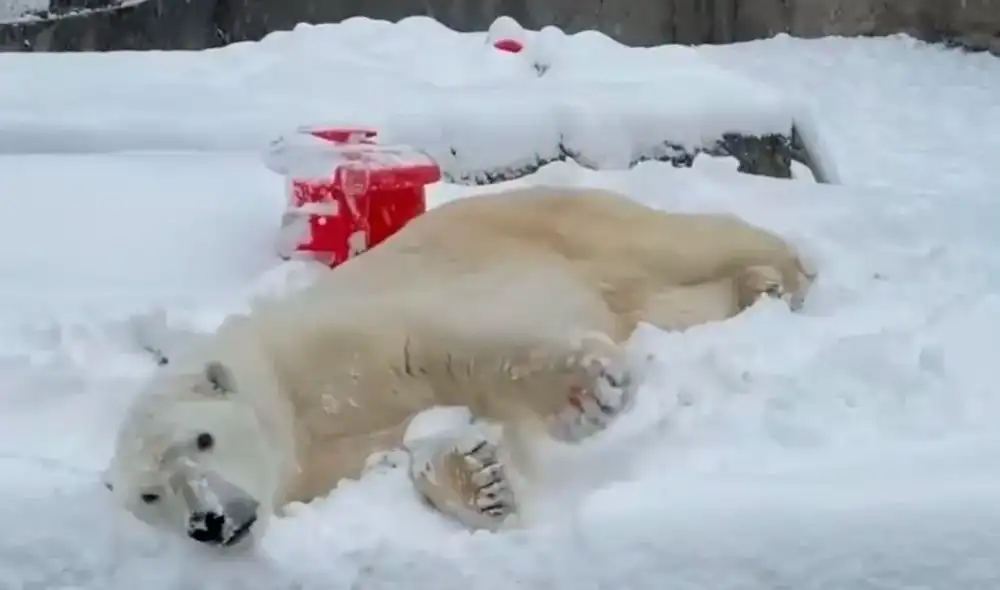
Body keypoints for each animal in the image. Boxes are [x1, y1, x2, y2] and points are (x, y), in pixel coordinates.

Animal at [104, 184, 814, 548]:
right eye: (150, 494)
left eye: (203, 438)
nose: (207, 522)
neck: (289, 399)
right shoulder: (319, 466)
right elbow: (402, 449)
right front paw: (481, 480)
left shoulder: (342, 337)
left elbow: (442, 347)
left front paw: (587, 390)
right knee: (667, 301)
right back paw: (757, 289)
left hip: (557, 221)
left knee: (673, 242)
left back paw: (784, 271)